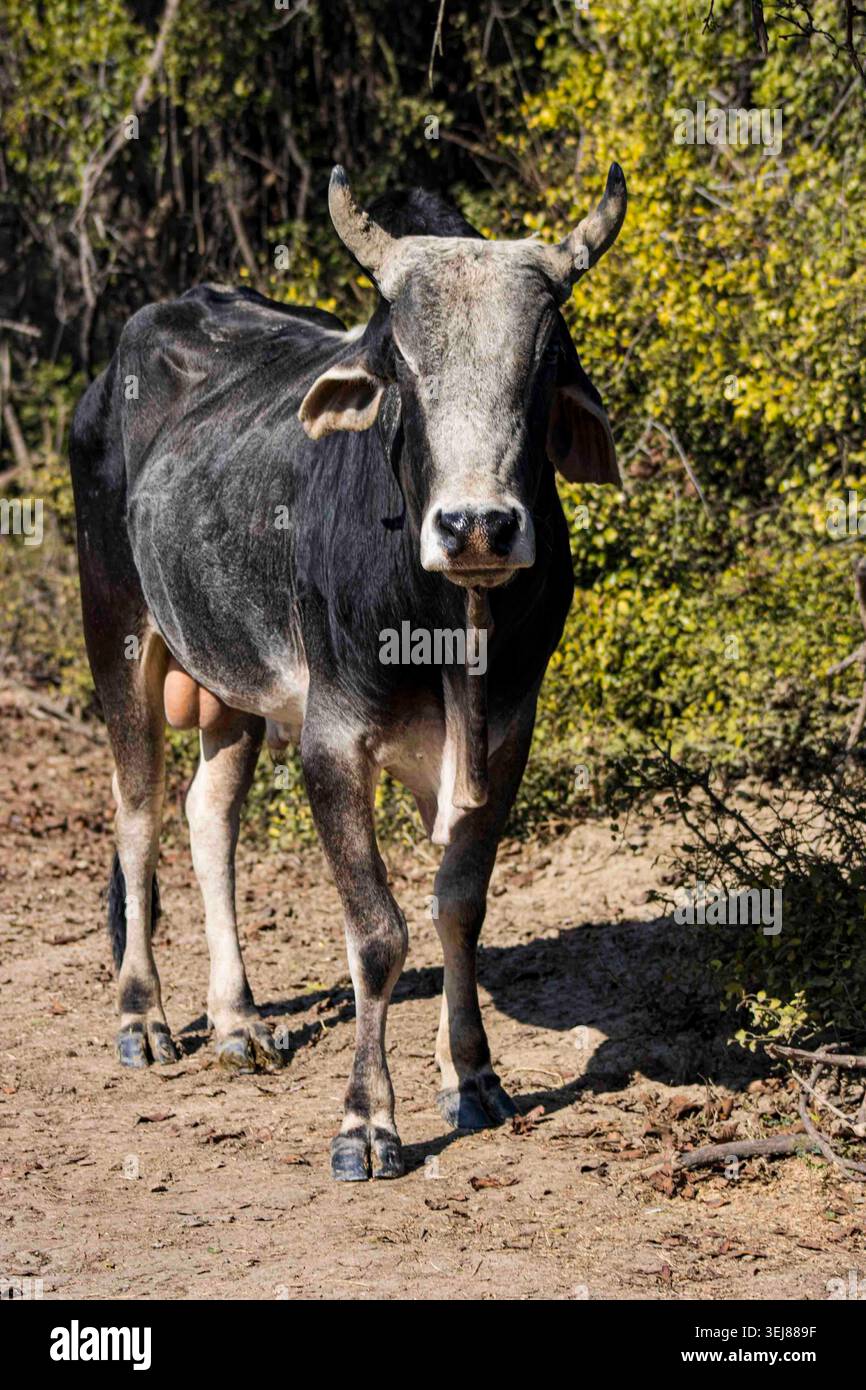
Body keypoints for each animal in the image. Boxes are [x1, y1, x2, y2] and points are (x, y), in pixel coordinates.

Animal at [69, 163, 627, 1180]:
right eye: (400, 365)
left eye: (540, 368)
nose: (478, 527)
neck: (449, 629)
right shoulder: (333, 740)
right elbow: (377, 934)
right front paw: (367, 1122)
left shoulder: (506, 738)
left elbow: (458, 906)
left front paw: (473, 1077)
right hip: (118, 632)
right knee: (137, 816)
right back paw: (145, 1018)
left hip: (234, 683)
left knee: (209, 815)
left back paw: (238, 1021)